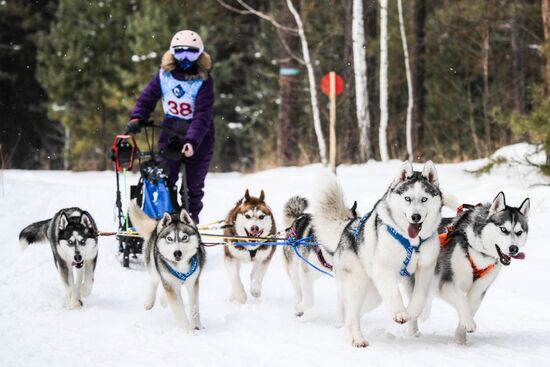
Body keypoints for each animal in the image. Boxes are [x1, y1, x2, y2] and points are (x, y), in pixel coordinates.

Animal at [130, 203, 206, 332]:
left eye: (184, 237)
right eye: (169, 238)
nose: (177, 253)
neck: (180, 268)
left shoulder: (193, 283)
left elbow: (194, 307)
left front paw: (196, 326)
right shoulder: (170, 283)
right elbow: (178, 309)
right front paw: (187, 329)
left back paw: (163, 300)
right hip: (153, 264)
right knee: (155, 280)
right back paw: (149, 302)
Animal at [312, 162, 446, 350]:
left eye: (424, 199)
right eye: (407, 198)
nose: (416, 216)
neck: (411, 242)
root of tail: (348, 227)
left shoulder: (425, 269)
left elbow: (419, 297)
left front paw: (411, 312)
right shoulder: (385, 268)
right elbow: (394, 294)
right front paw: (400, 313)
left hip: (373, 295)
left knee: (355, 313)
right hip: (357, 285)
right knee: (352, 314)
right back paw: (358, 339)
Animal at [412, 193, 532, 344]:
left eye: (519, 232)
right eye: (503, 229)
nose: (513, 249)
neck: (478, 251)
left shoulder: (479, 290)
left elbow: (470, 306)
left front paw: (460, 336)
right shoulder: (446, 281)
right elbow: (462, 301)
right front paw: (468, 323)